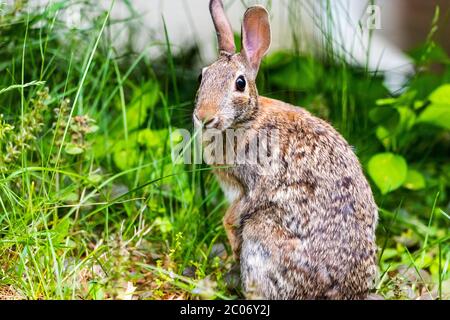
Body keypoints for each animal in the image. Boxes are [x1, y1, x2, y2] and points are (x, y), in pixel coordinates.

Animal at [192, 0, 378, 300]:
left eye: (240, 83)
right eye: (202, 76)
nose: (203, 116)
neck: (248, 119)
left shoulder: (250, 185)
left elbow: (233, 215)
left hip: (261, 234)